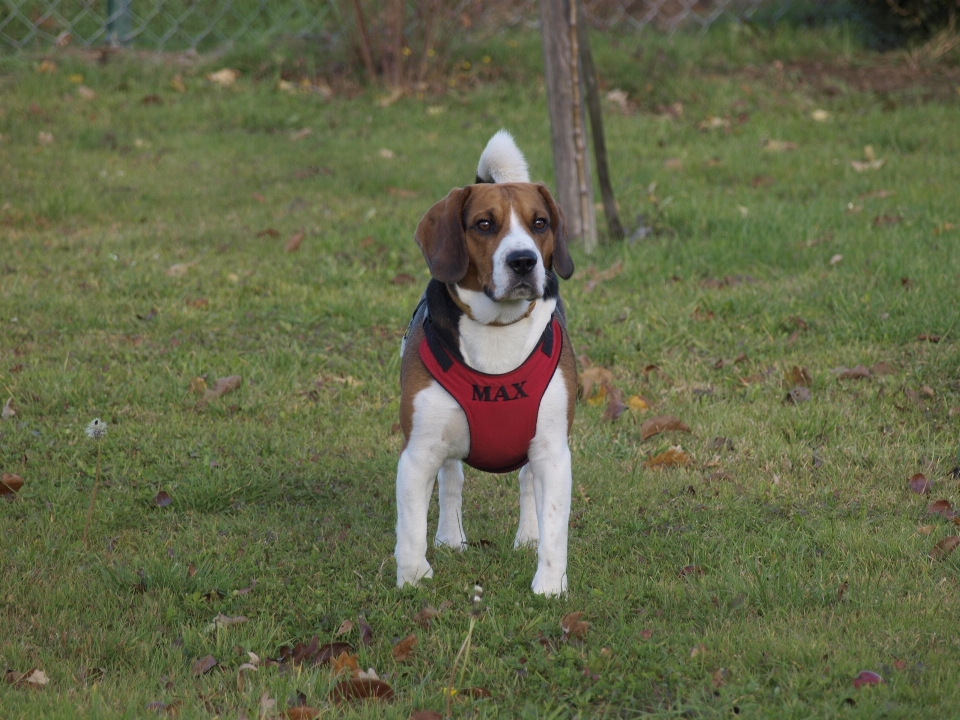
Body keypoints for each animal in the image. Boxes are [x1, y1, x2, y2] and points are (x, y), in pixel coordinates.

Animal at [392, 134, 572, 596]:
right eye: (484, 225)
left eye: (539, 223)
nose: (524, 261)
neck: (497, 331)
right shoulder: (418, 451)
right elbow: (411, 526)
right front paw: (413, 577)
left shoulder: (552, 450)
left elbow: (554, 523)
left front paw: (550, 586)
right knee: (452, 481)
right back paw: (450, 538)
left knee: (526, 485)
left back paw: (527, 538)